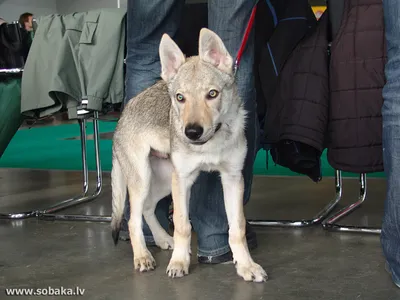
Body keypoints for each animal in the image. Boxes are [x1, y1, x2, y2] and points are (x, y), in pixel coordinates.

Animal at [109, 27, 268, 282]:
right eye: (180, 98)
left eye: (212, 94)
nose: (192, 132)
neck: (209, 144)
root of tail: (123, 114)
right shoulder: (183, 180)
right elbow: (183, 225)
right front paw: (179, 263)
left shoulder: (232, 179)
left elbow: (237, 229)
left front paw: (246, 266)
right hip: (145, 181)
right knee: (133, 220)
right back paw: (143, 257)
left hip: (164, 180)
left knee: (148, 209)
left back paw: (164, 239)